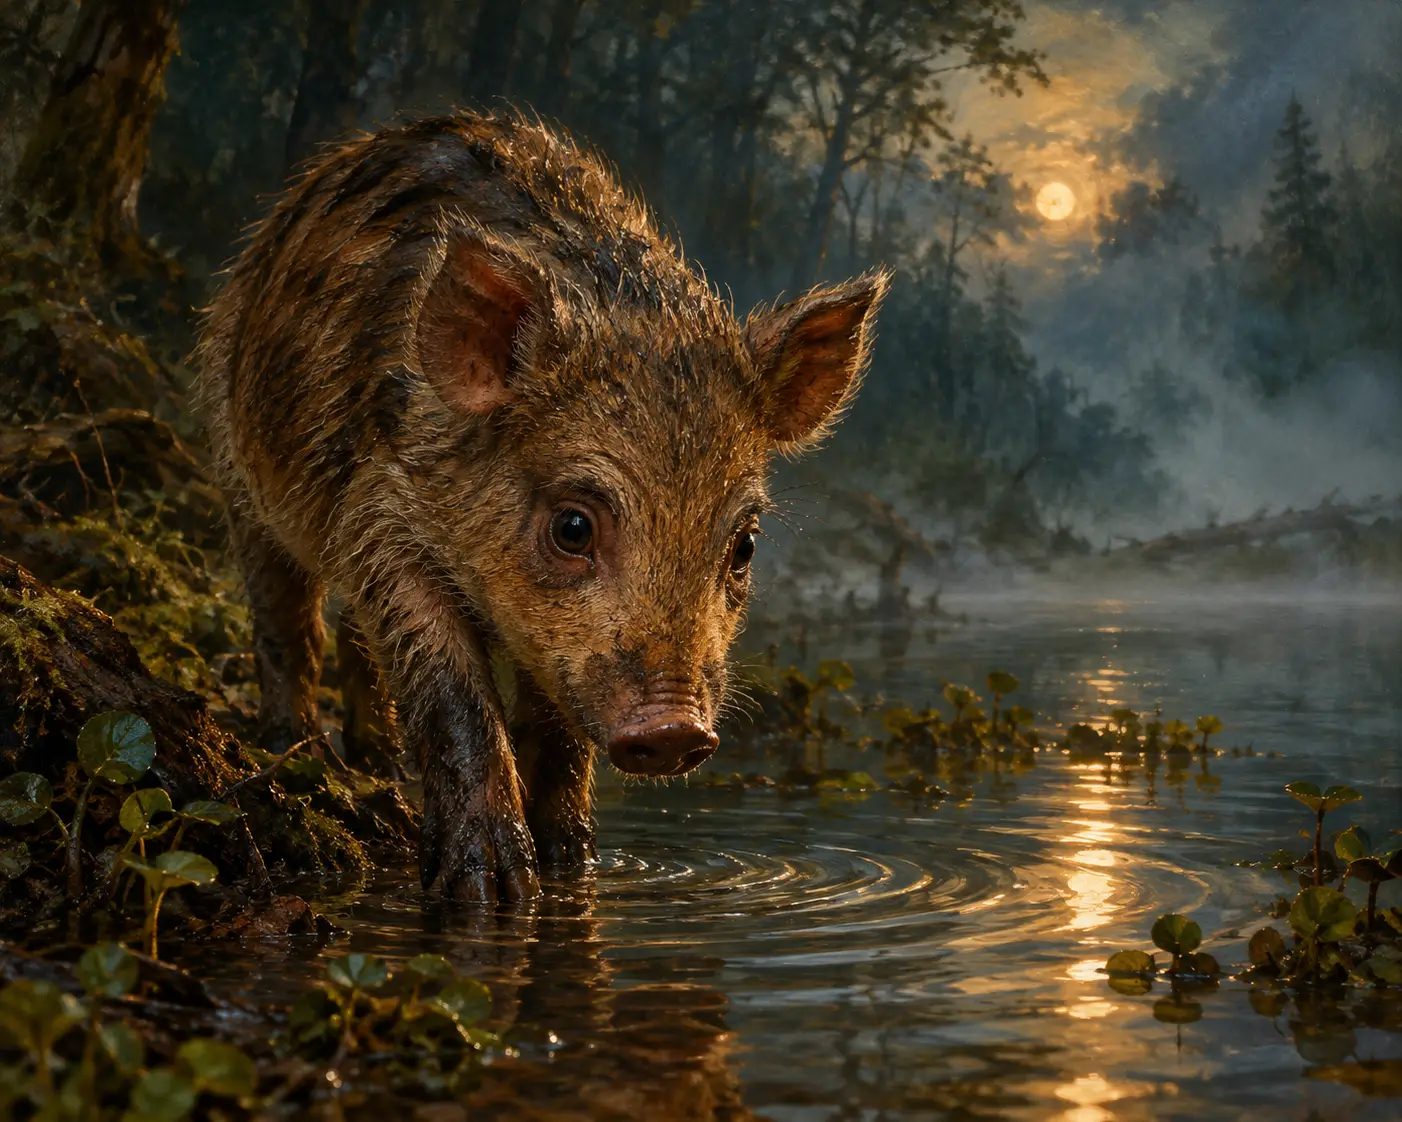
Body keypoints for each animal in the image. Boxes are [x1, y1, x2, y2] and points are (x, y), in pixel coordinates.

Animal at [197, 111, 888, 903]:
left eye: (743, 545)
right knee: (287, 623)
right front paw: (491, 889)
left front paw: (573, 866)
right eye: (573, 526)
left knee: (350, 635)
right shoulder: (381, 515)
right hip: (234, 454)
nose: (676, 729)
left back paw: (377, 763)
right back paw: (304, 754)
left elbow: (554, 732)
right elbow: (453, 691)